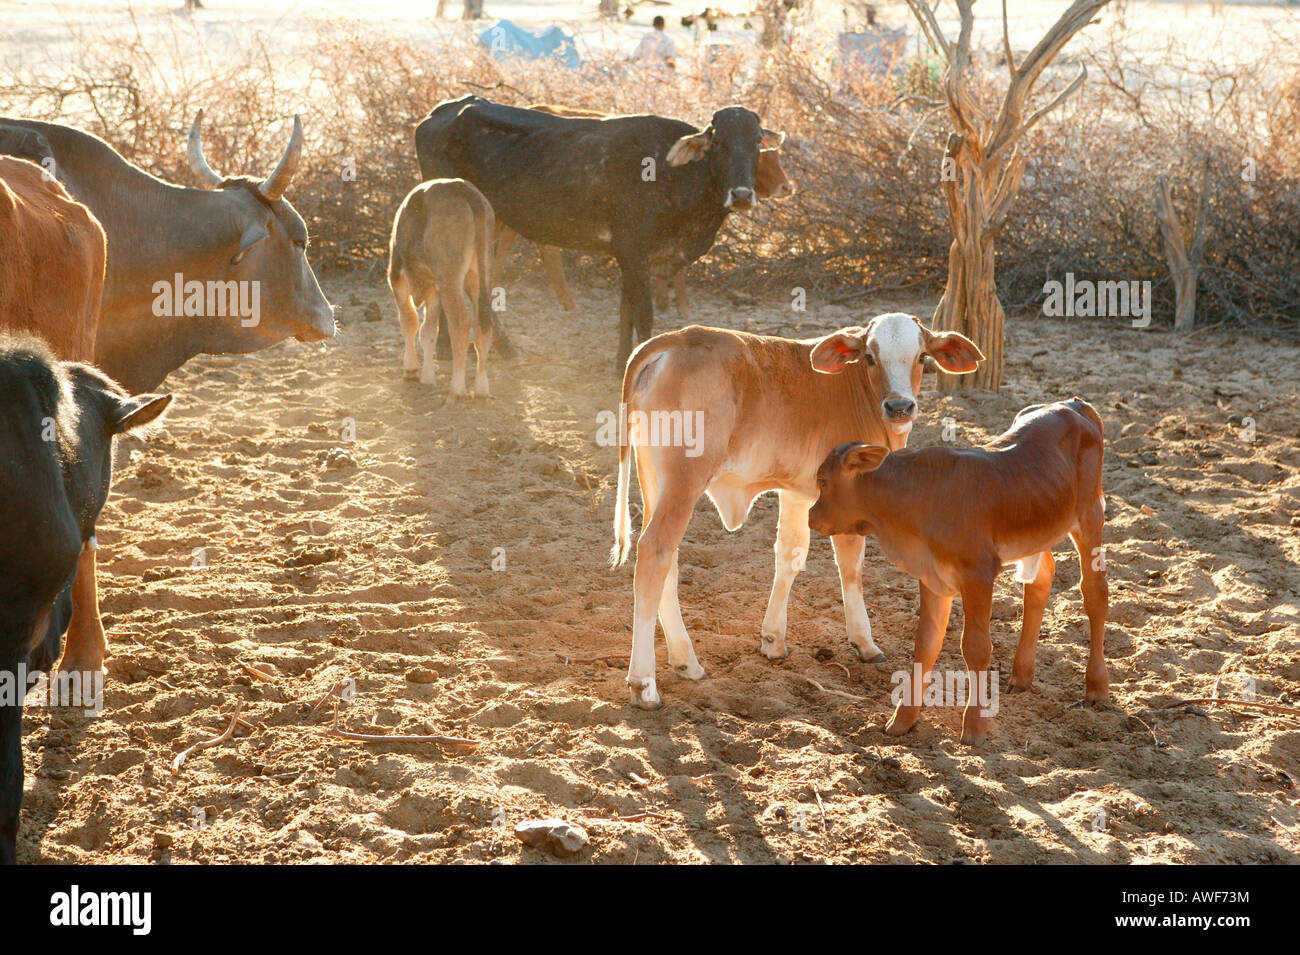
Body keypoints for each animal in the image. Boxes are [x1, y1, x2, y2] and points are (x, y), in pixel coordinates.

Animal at [387, 179, 493, 400]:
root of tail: (459, 186)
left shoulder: (396, 278)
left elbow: (409, 322)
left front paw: (411, 370)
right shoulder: (435, 290)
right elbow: (428, 331)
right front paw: (427, 377)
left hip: (450, 279)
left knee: (460, 323)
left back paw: (457, 390)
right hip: (481, 275)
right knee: (483, 324)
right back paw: (481, 389)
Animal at [416, 95, 780, 369]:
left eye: (757, 141)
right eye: (718, 142)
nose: (742, 195)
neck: (675, 175)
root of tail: (443, 111)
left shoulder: (629, 256)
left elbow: (625, 313)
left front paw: (622, 363)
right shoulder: (633, 249)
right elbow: (643, 315)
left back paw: (486, 348)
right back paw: (456, 348)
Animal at [613, 315, 977, 712]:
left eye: (922, 356)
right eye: (869, 356)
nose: (899, 406)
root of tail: (673, 340)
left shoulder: (795, 492)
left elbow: (789, 556)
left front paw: (773, 640)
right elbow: (851, 566)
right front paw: (864, 642)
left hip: (655, 482)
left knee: (670, 562)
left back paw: (686, 662)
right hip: (684, 480)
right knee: (655, 553)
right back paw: (644, 684)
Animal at [811, 400, 1107, 743]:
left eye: (823, 481)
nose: (812, 516)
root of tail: (1073, 404)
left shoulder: (978, 574)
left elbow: (976, 647)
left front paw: (974, 726)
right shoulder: (932, 576)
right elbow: (926, 643)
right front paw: (902, 719)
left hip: (1090, 517)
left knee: (1095, 594)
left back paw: (1097, 688)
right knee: (1041, 580)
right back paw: (1021, 675)